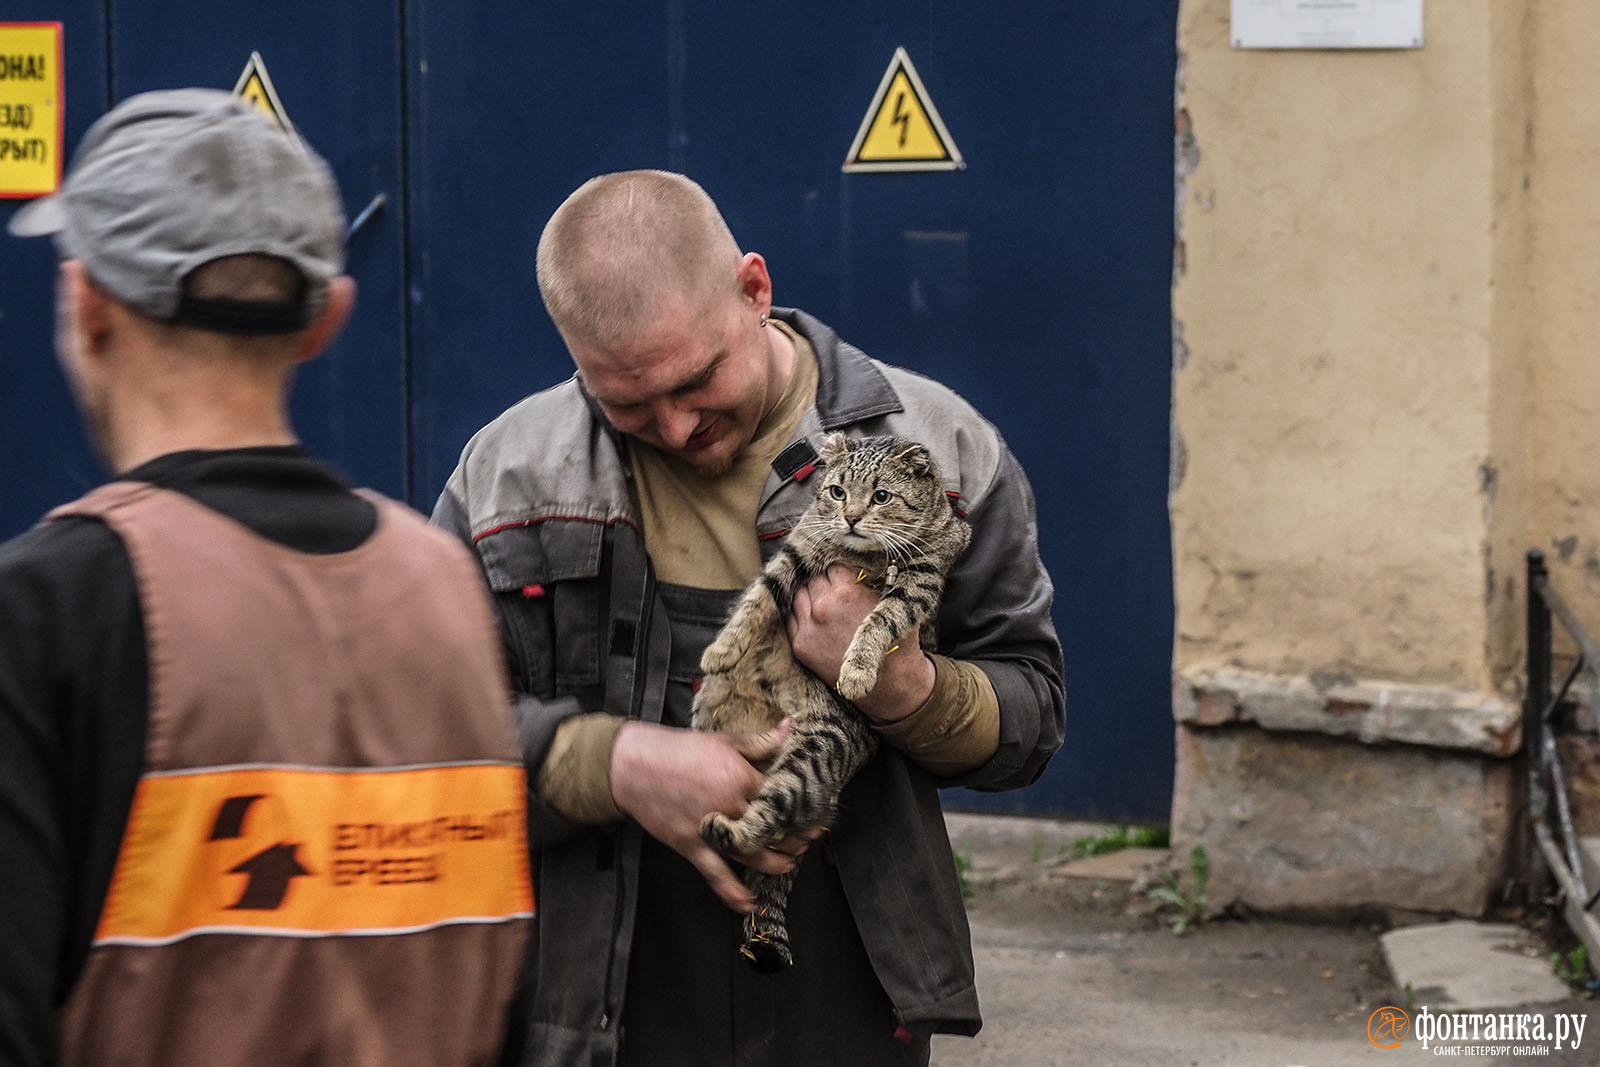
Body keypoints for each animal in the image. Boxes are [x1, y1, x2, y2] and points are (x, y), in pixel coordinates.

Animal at [691, 428, 972, 972]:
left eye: (881, 496)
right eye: (838, 491)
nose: (852, 518)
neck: (861, 555)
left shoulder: (920, 580)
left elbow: (878, 620)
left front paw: (857, 671)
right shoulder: (798, 549)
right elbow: (758, 598)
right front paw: (722, 648)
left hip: (814, 751)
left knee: (768, 821)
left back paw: (726, 829)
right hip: (712, 709)